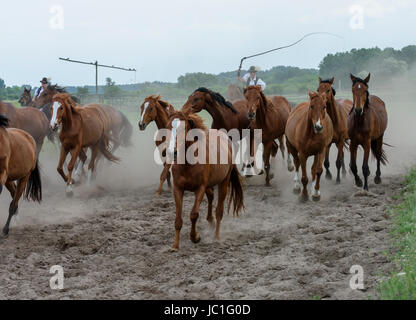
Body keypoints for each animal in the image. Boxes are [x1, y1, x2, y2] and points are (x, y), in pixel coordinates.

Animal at [165, 111, 244, 251]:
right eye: (168, 126)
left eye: (184, 128)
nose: (172, 152)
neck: (188, 164)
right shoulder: (178, 189)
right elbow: (178, 219)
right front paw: (175, 246)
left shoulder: (200, 189)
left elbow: (194, 214)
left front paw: (195, 237)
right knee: (211, 196)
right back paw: (210, 220)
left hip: (224, 182)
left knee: (219, 210)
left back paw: (216, 237)